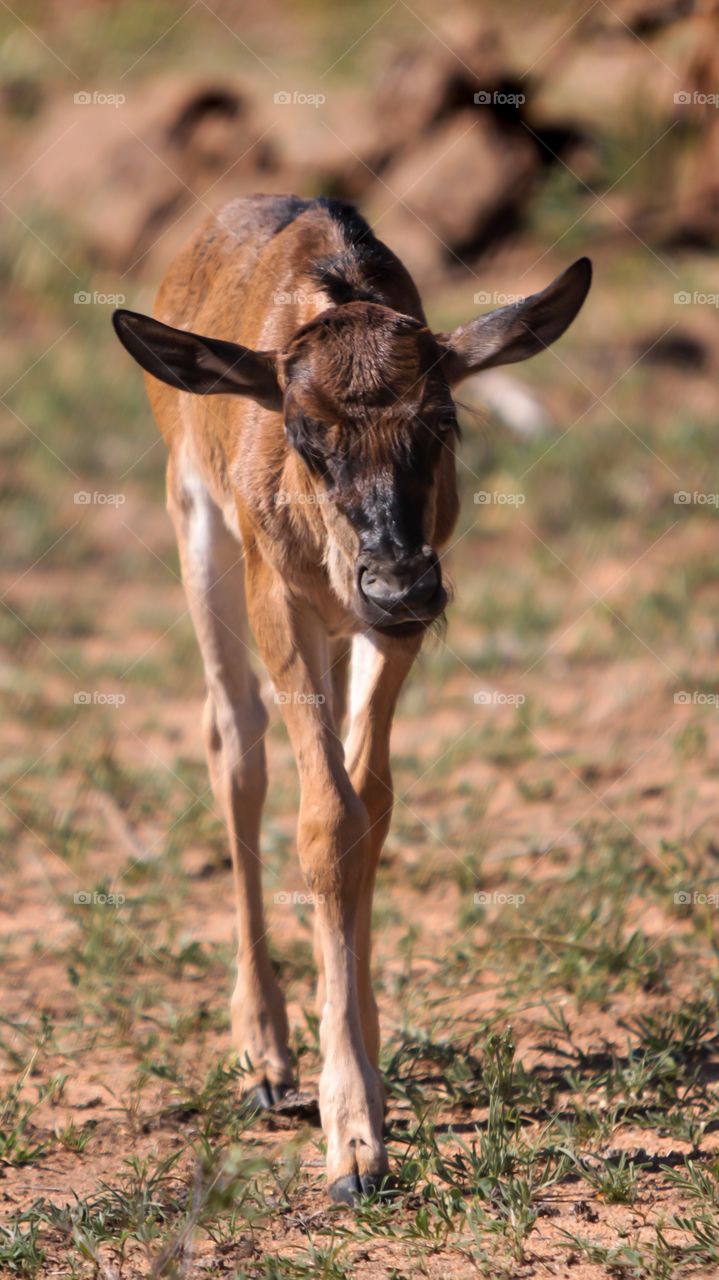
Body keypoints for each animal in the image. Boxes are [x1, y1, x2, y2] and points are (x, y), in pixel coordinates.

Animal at [112, 194, 590, 1203]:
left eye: (444, 422)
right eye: (304, 435)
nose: (400, 579)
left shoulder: (384, 631)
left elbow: (366, 808)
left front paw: (365, 1072)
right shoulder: (278, 598)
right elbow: (320, 817)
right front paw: (352, 1144)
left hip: (341, 627)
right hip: (197, 530)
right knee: (233, 747)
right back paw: (264, 1056)